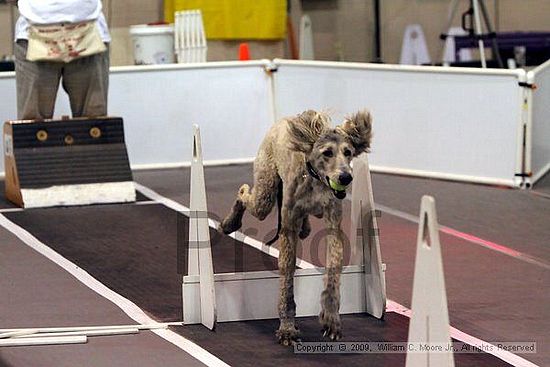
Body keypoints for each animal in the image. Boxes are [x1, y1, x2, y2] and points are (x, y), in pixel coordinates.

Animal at [221, 109, 376, 344]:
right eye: (327, 153)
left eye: (348, 152)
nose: (345, 177)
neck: (315, 179)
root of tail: (282, 121)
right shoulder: (287, 231)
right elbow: (287, 280)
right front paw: (287, 328)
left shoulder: (333, 224)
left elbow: (333, 272)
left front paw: (331, 319)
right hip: (265, 194)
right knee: (244, 192)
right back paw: (230, 222)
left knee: (305, 226)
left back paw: (305, 225)